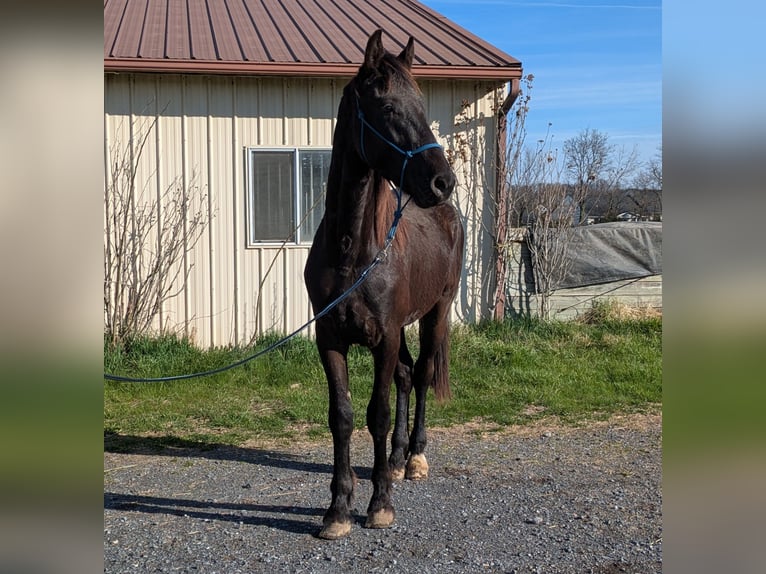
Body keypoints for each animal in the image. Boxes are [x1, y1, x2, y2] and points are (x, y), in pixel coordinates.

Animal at [304, 29, 464, 540]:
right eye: (388, 106)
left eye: (422, 103)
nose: (443, 181)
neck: (354, 253)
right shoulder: (330, 338)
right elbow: (342, 416)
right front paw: (337, 510)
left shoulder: (386, 337)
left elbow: (376, 412)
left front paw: (379, 505)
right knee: (408, 377)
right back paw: (393, 461)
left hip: (435, 314)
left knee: (425, 373)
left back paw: (413, 459)